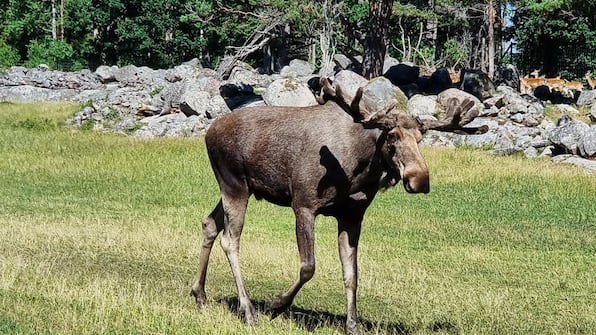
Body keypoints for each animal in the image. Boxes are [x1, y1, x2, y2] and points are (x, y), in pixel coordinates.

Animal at [192, 76, 488, 335]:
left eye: (420, 138)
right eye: (391, 137)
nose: (420, 179)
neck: (358, 169)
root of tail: (208, 133)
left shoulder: (352, 215)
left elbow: (352, 273)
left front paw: (352, 325)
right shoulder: (303, 204)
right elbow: (308, 266)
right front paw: (277, 304)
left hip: (240, 188)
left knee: (209, 224)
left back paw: (200, 294)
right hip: (234, 184)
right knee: (230, 240)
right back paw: (249, 310)